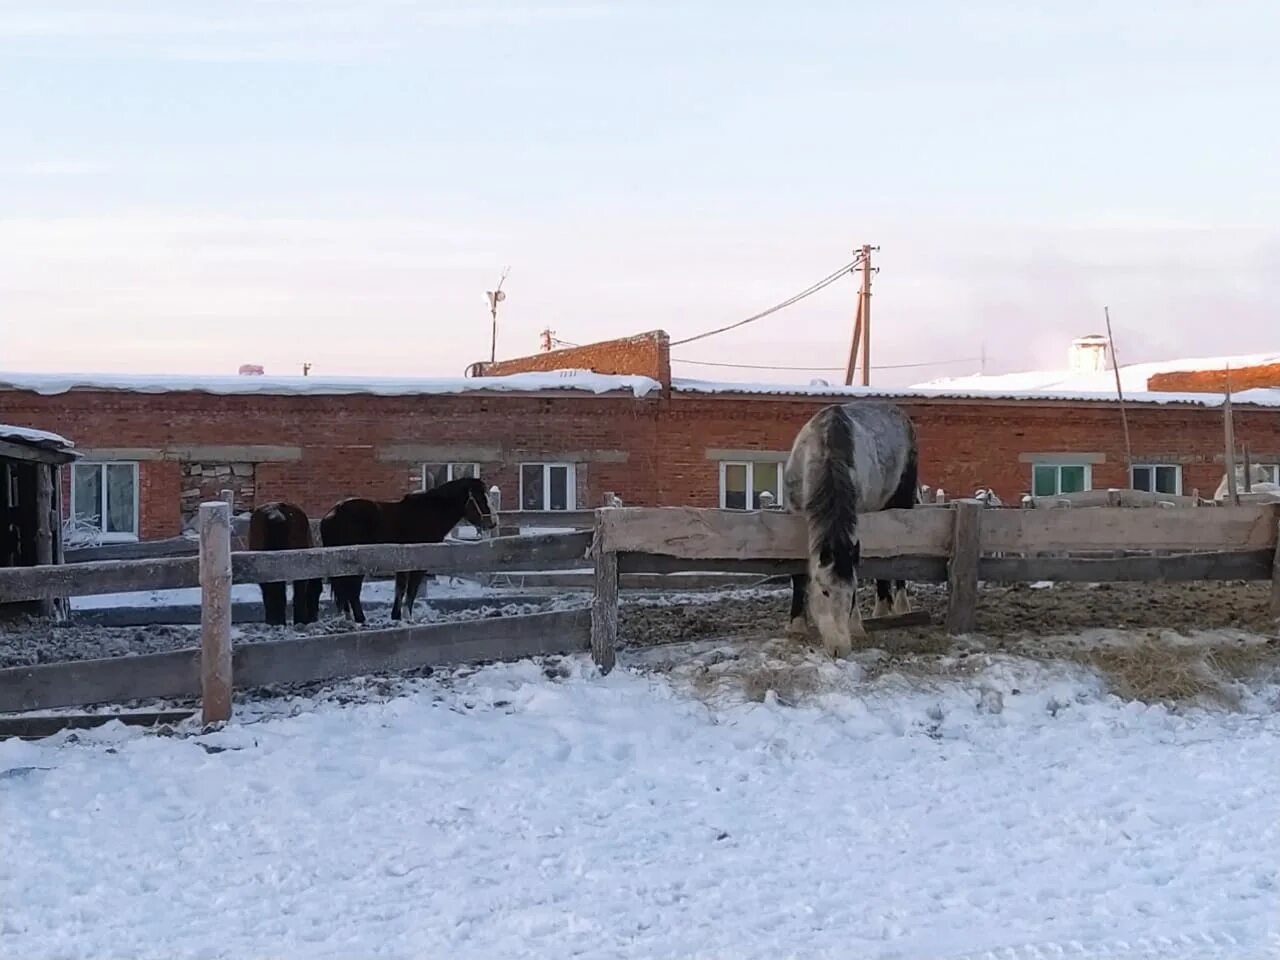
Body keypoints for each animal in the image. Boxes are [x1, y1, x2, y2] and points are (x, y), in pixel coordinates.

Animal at [318, 478, 494, 627]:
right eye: (481, 499)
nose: (492, 523)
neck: (428, 514)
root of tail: (333, 514)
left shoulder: (402, 564)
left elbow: (400, 589)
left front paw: (396, 616)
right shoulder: (418, 563)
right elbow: (411, 590)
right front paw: (408, 617)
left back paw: (350, 619)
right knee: (352, 591)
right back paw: (361, 620)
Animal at [778, 399, 921, 660]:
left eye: (852, 591)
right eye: (824, 591)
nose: (840, 648)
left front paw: (856, 625)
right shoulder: (794, 513)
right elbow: (798, 575)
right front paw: (797, 624)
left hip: (901, 504)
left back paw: (897, 606)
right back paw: (882, 608)